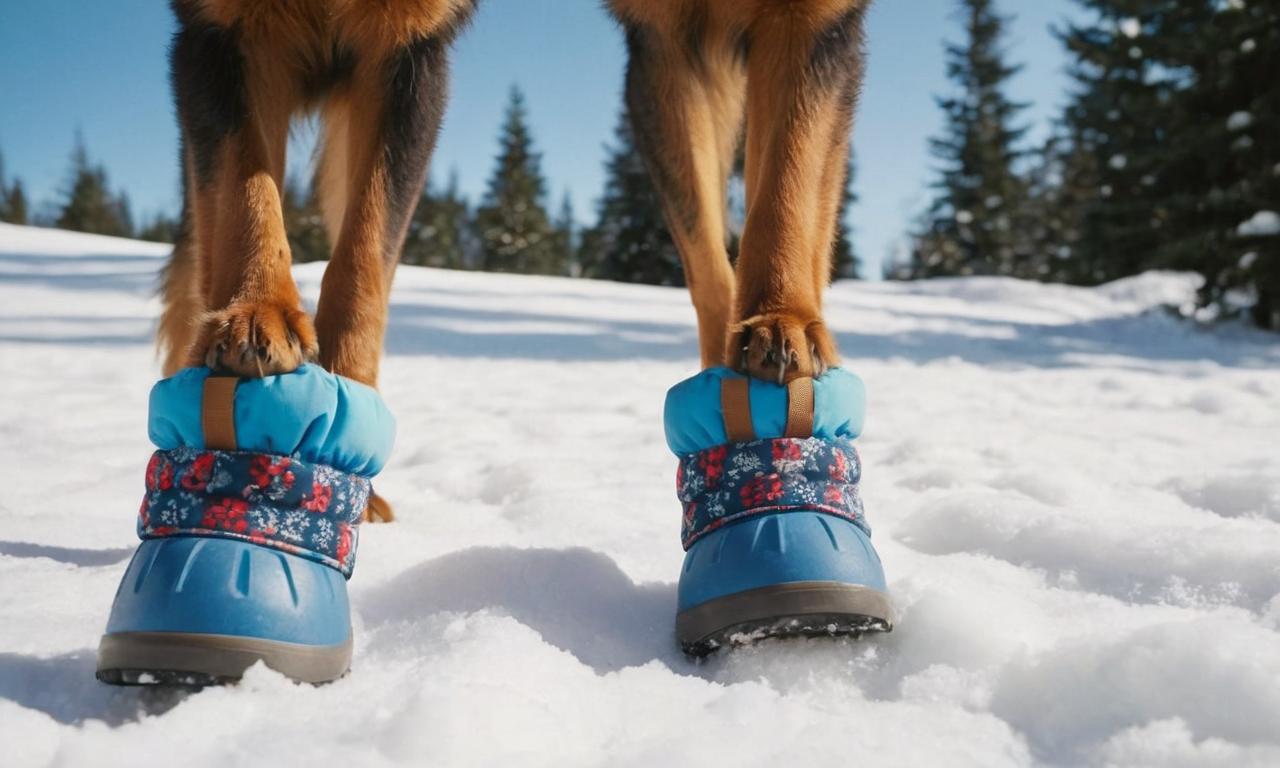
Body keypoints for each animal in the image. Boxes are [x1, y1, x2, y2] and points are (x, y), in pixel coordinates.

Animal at [154, 0, 865, 401]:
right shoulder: (222, 35)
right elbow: (249, 199)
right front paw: (258, 310)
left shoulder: (407, 53)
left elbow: (786, 189)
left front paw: (781, 319)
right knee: (196, 265)